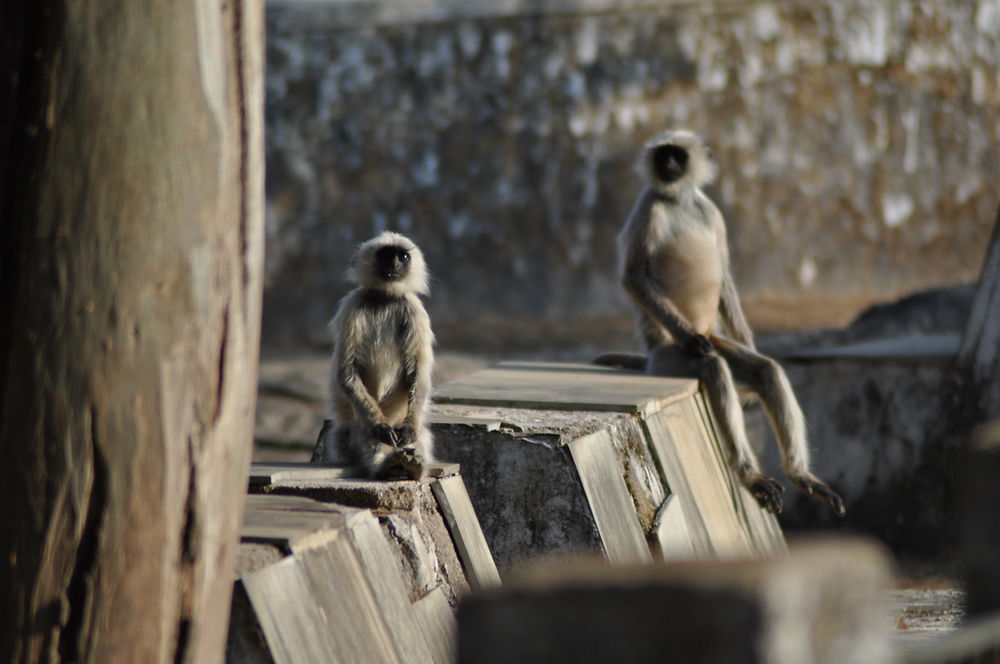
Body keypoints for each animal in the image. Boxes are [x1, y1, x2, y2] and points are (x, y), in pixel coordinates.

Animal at [318, 232, 436, 478]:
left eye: (403, 256)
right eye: (385, 255)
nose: (394, 264)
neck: (385, 298)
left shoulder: (414, 309)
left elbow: (418, 373)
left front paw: (409, 429)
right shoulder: (352, 306)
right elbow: (346, 372)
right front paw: (379, 427)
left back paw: (410, 464)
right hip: (344, 437)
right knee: (365, 434)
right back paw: (388, 463)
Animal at [596, 127, 840, 516]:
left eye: (677, 156)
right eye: (662, 154)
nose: (667, 164)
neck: (678, 200)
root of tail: (651, 357)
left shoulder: (711, 212)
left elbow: (723, 274)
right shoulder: (649, 205)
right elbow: (633, 277)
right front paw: (691, 340)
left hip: (716, 336)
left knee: (766, 371)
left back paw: (800, 475)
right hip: (670, 356)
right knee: (713, 366)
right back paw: (750, 476)